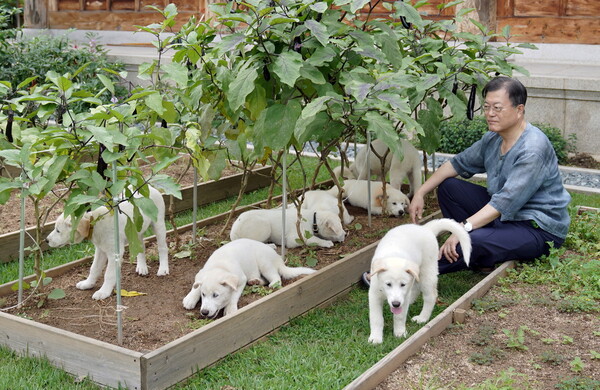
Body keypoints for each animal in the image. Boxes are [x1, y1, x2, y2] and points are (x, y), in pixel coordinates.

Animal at [182, 239, 314, 318]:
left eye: (216, 295)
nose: (204, 312)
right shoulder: (202, 273)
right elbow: (197, 285)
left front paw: (230, 309)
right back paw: (255, 281)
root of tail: (278, 259)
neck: (219, 266)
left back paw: (272, 284)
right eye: (203, 295)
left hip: (264, 263)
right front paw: (190, 298)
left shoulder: (241, 279)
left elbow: (234, 295)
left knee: (275, 277)